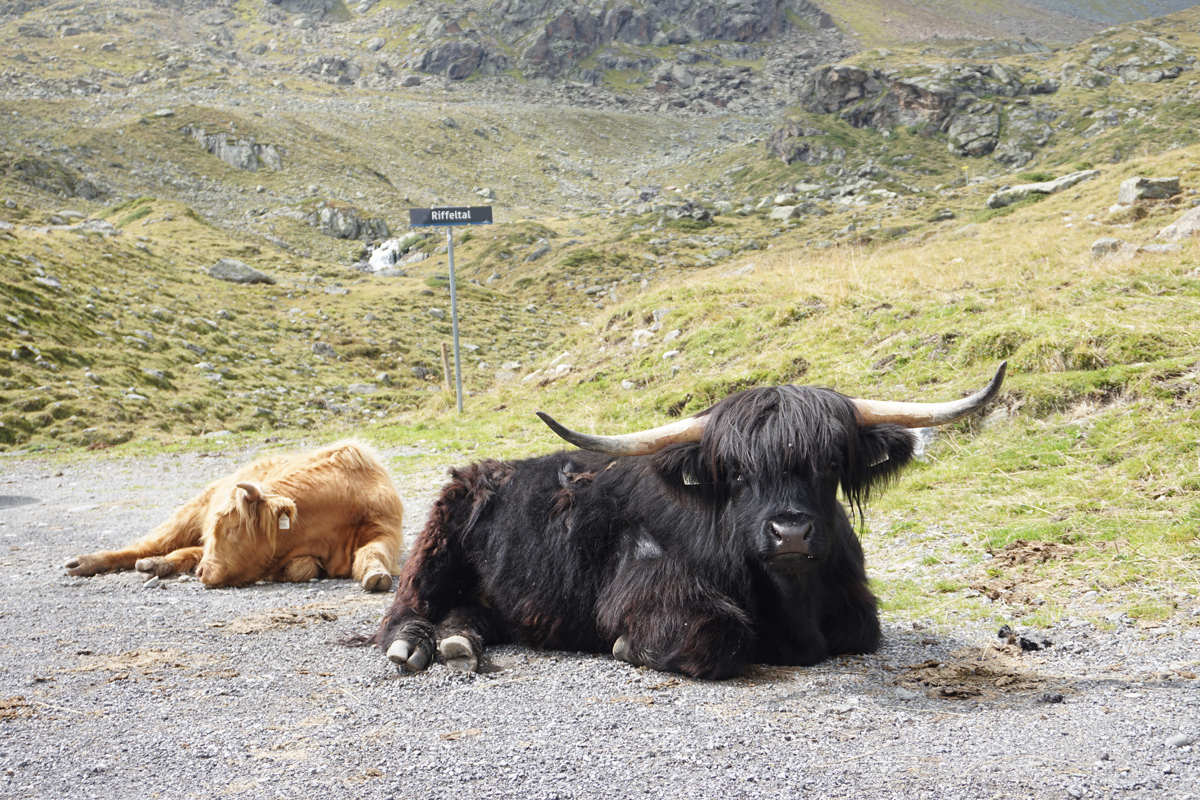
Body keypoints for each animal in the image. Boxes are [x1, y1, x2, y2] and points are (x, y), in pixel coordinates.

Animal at [369, 367, 1008, 681]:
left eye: (829, 463)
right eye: (737, 472)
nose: (791, 534)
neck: (794, 605)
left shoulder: (856, 607)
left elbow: (862, 630)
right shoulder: (651, 587)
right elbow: (718, 638)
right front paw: (630, 647)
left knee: (469, 611)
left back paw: (459, 643)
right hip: (436, 538)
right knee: (404, 607)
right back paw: (413, 646)